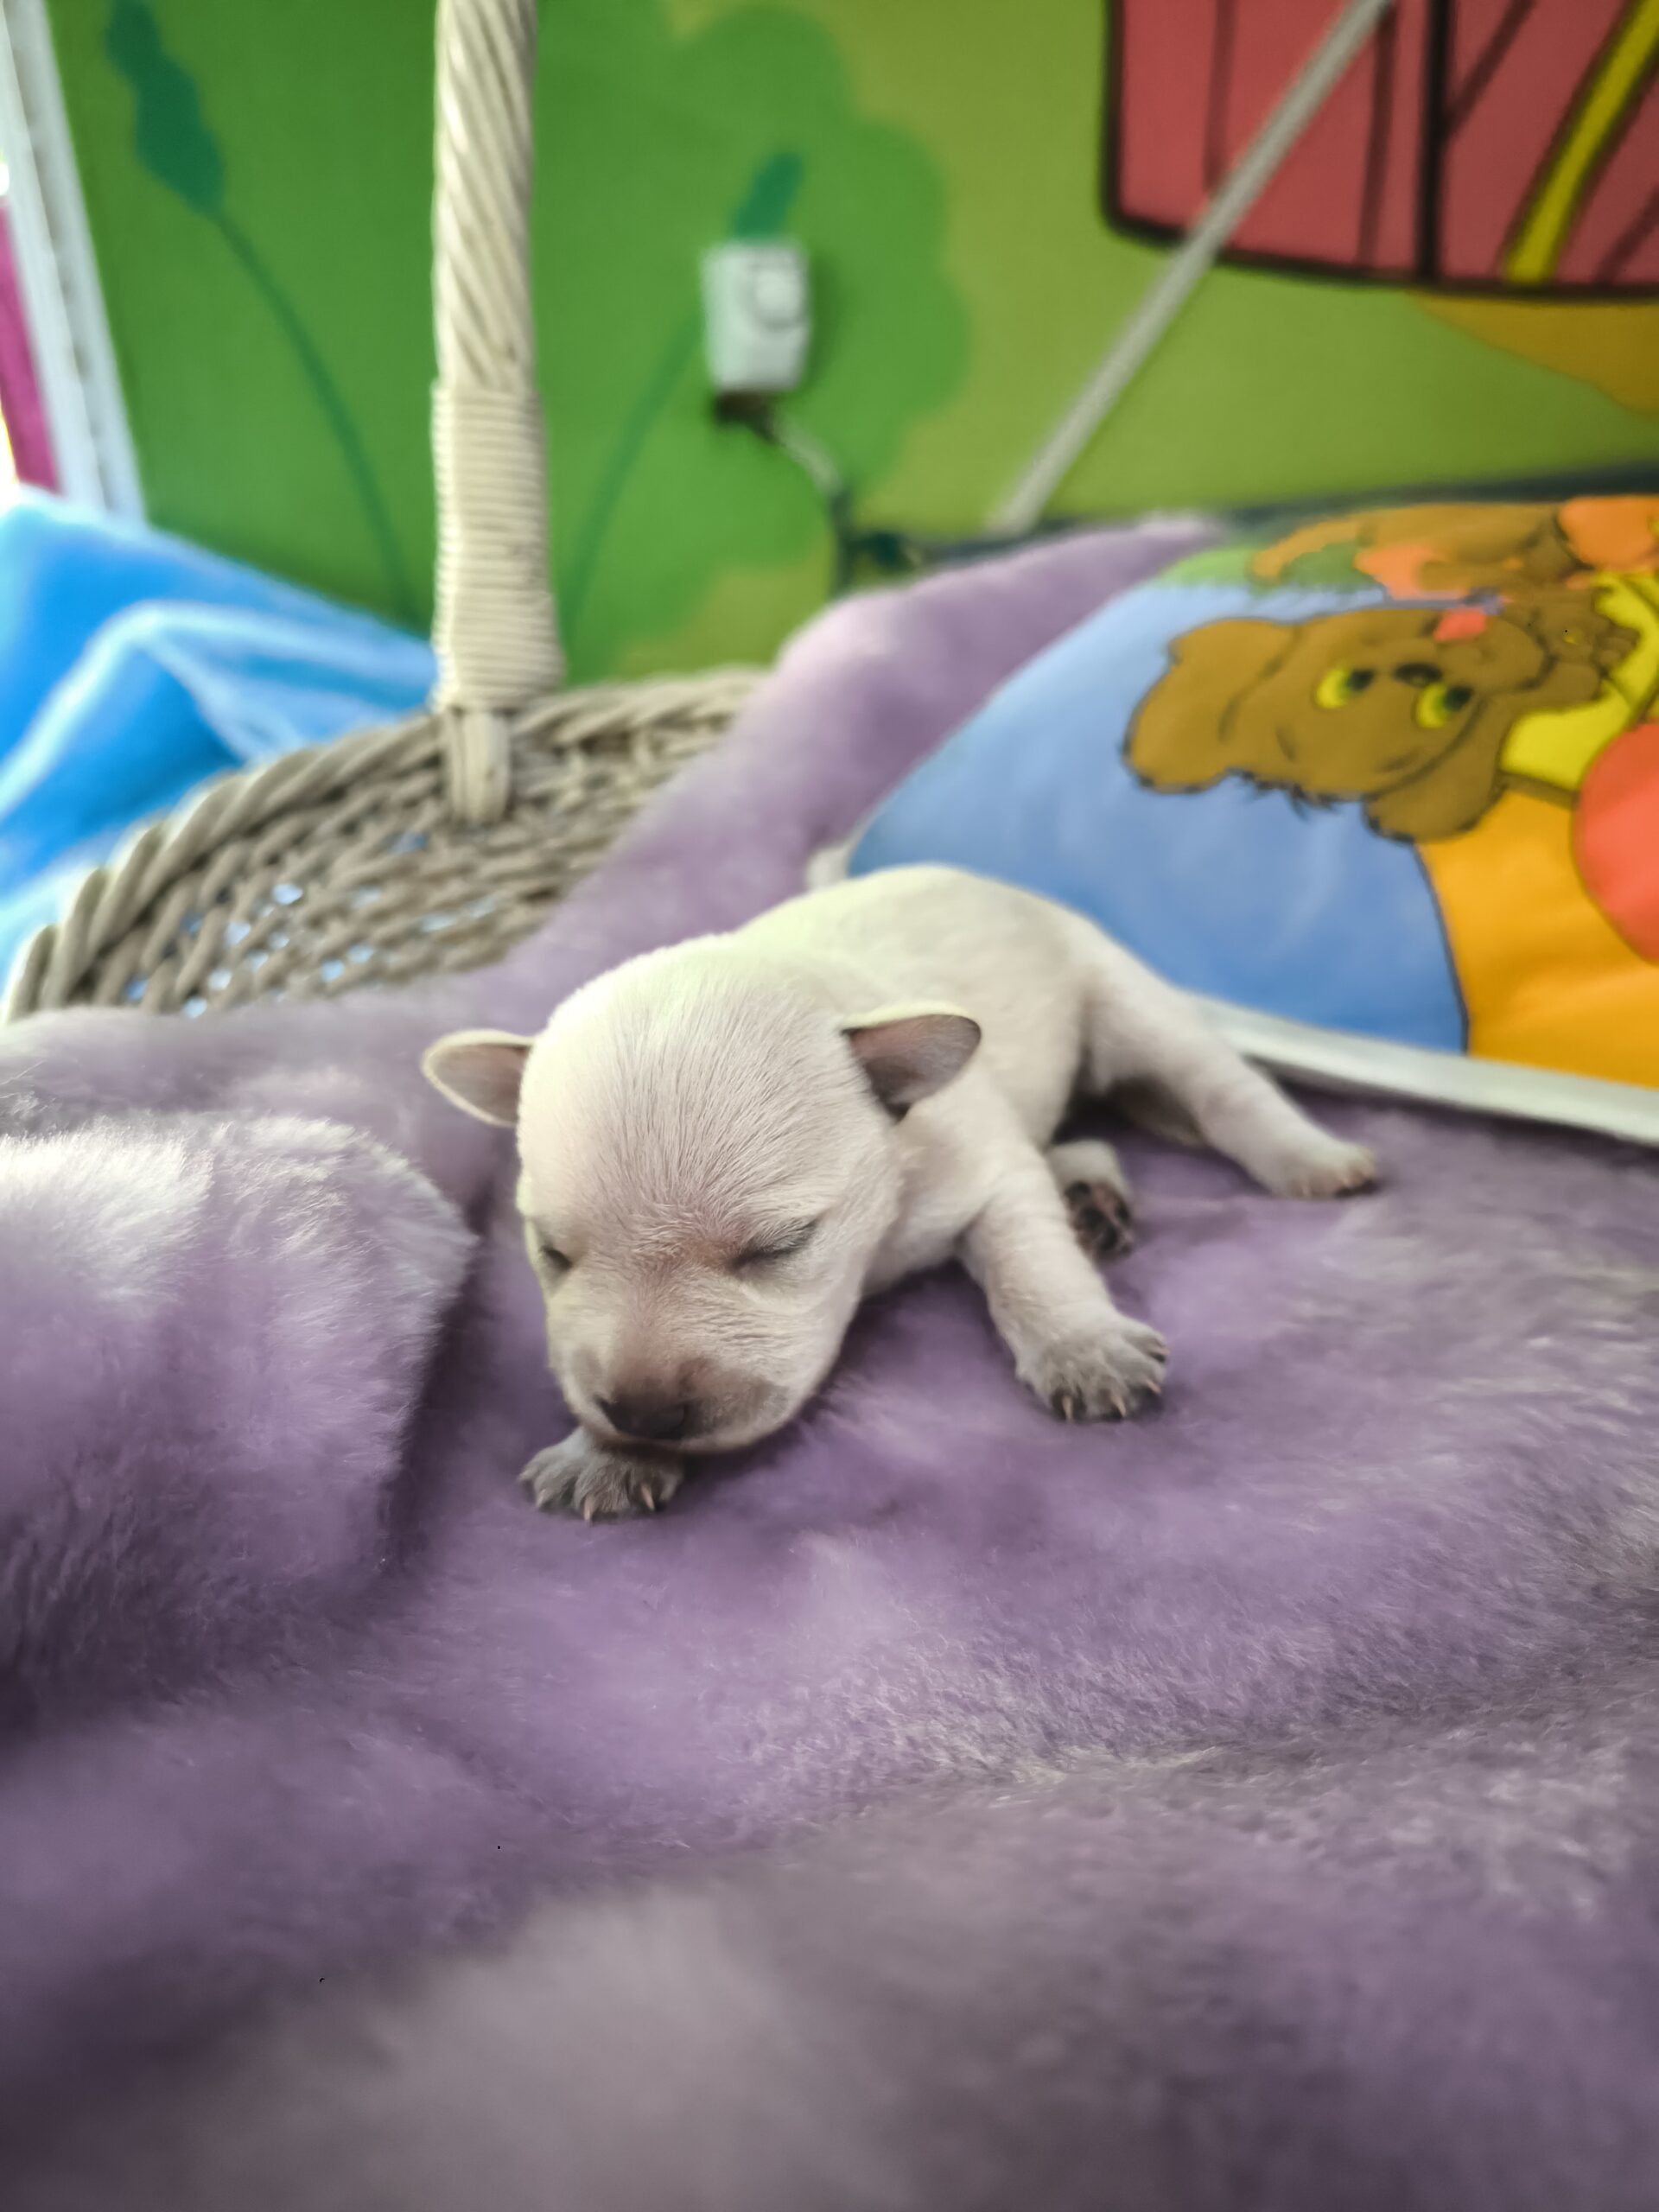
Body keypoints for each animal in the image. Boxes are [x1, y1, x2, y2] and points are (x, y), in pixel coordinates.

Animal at [423, 866, 1377, 1519]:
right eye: (553, 1253)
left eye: (780, 1246)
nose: (645, 1412)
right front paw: (604, 1452)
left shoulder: (985, 1162)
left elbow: (1029, 1262)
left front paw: (1085, 1349)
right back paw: (1089, 1192)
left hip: (1122, 991)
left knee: (1221, 1086)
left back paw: (1312, 1158)